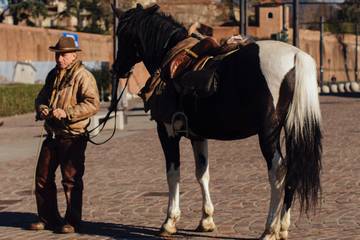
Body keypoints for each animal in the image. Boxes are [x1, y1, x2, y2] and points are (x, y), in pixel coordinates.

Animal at [111, 4, 322, 240]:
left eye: (122, 34)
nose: (117, 68)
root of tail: (295, 56)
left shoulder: (167, 132)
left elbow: (173, 174)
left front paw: (169, 221)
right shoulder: (198, 136)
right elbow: (203, 174)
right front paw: (206, 219)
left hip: (268, 132)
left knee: (277, 172)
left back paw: (269, 229)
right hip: (291, 127)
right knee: (293, 169)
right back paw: (283, 226)